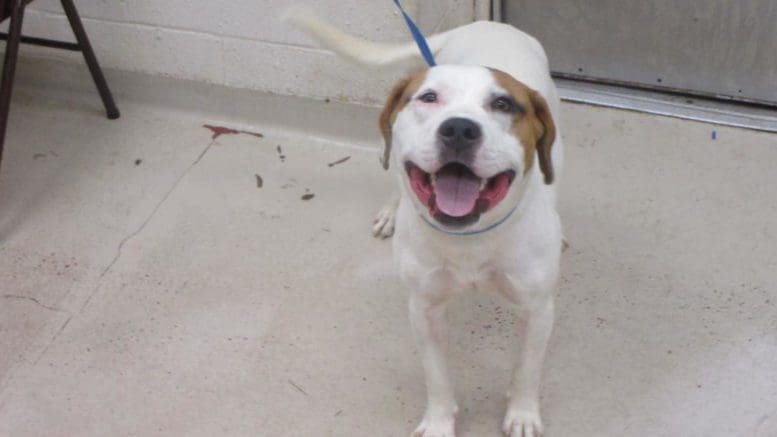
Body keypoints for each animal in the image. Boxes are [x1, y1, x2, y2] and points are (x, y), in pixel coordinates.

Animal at [288, 7, 560, 436]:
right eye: (429, 97)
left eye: (503, 103)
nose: (460, 128)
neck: (471, 238)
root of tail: (486, 24)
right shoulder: (424, 309)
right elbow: (436, 376)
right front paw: (438, 422)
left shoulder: (538, 309)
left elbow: (526, 370)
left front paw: (521, 413)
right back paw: (391, 212)